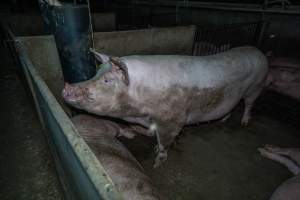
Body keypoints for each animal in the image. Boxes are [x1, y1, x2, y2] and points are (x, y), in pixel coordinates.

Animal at [62, 46, 268, 167]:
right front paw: (141, 134)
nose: (66, 89)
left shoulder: (173, 120)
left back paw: (244, 123)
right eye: (96, 73)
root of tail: (259, 52)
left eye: (107, 80)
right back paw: (223, 120)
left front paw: (157, 161)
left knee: (249, 104)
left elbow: (165, 142)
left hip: (256, 87)